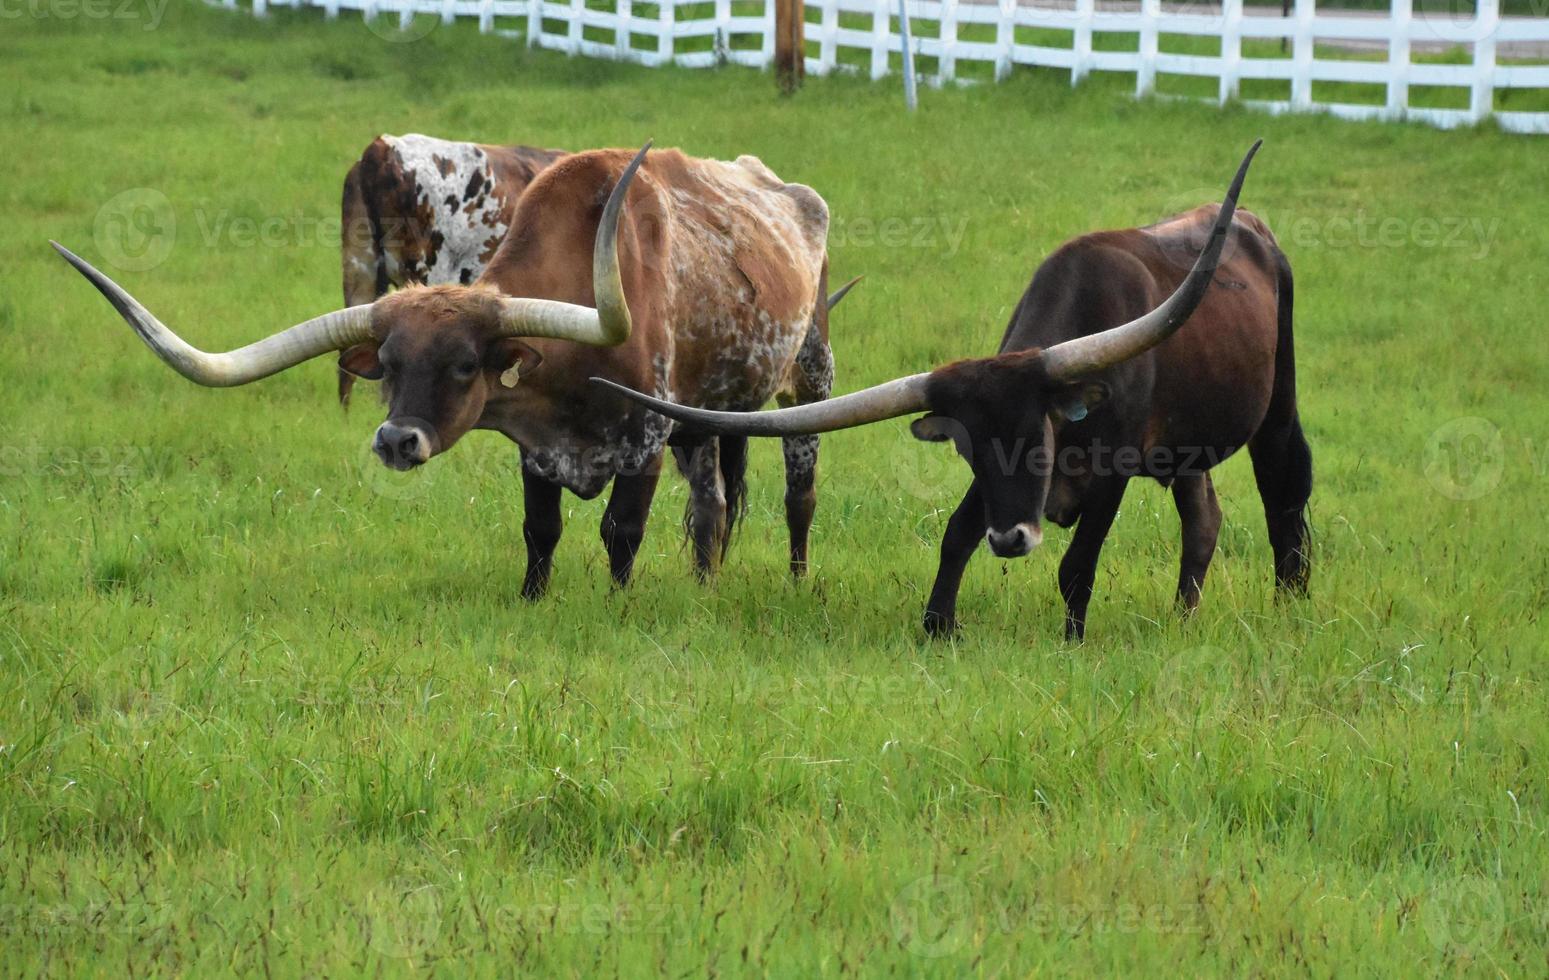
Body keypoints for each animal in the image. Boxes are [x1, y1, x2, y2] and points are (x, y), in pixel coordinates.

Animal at [51, 141, 861, 591]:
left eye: (467, 363)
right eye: (387, 362)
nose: (395, 440)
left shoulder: (645, 444)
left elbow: (621, 536)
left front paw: (617, 606)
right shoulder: (538, 454)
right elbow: (542, 534)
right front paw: (533, 602)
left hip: (807, 376)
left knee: (799, 496)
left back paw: (795, 581)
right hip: (709, 419)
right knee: (712, 509)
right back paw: (704, 587)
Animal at [585, 141, 1313, 637]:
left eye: (1037, 439)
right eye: (970, 450)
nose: (1011, 542)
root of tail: (1251, 225)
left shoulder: (1113, 470)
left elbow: (1076, 566)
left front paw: (1072, 639)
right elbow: (957, 535)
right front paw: (938, 625)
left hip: (1277, 403)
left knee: (1284, 485)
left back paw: (1291, 599)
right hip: (1186, 446)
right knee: (1203, 519)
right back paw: (1184, 614)